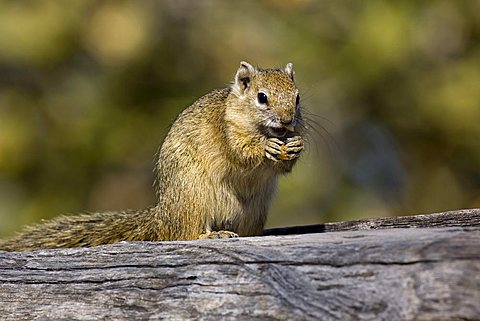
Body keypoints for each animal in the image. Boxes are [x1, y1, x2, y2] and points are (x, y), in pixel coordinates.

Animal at [0, 60, 304, 250]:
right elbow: (240, 152)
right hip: (193, 198)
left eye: (297, 97)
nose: (287, 120)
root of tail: (162, 218)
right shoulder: (226, 130)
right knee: (184, 234)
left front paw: (296, 145)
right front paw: (264, 148)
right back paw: (211, 234)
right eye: (262, 97)